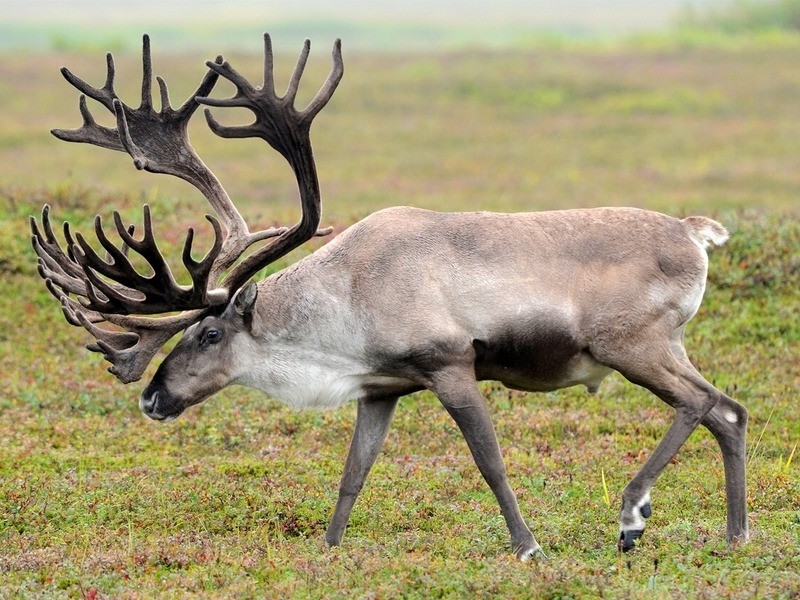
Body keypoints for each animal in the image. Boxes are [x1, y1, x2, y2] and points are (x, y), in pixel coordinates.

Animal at [31, 34, 749, 560]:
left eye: (208, 333)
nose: (152, 398)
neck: (344, 302)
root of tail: (695, 233)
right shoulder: (380, 388)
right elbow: (354, 473)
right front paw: (328, 548)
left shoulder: (450, 365)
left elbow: (490, 463)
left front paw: (528, 548)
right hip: (665, 346)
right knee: (729, 411)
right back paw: (736, 533)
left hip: (631, 344)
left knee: (701, 403)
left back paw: (632, 517)